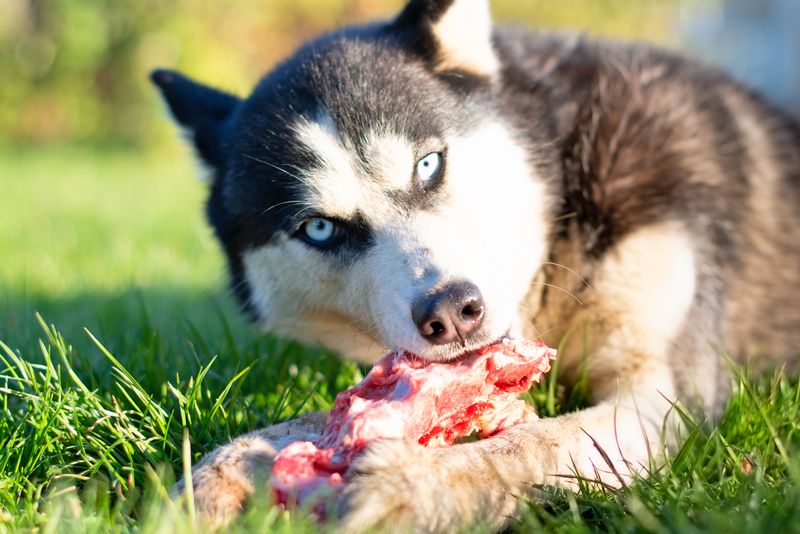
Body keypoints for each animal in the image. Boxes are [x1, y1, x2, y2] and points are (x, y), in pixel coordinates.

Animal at [152, 0, 800, 532]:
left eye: (429, 164)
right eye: (319, 228)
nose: (452, 312)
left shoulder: (665, 398)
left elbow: (532, 445)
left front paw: (412, 487)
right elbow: (301, 423)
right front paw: (211, 476)